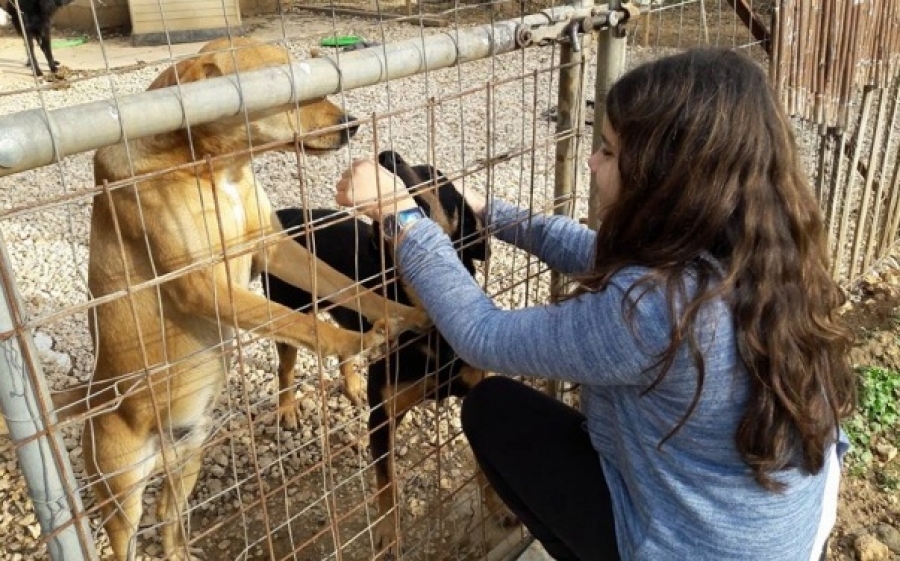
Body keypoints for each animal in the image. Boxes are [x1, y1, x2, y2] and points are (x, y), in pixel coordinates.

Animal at [59, 36, 426, 560]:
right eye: (281, 88)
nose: (352, 124)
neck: (216, 171)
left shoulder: (274, 248)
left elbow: (348, 288)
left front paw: (410, 313)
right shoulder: (204, 287)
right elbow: (302, 325)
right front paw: (359, 343)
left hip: (187, 459)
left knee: (167, 514)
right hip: (121, 490)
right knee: (124, 536)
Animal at [262, 151, 512, 552]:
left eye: (432, 173)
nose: (387, 155)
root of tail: (287, 214)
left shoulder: (473, 391)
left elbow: (482, 468)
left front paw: (497, 507)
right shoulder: (382, 418)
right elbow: (387, 482)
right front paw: (387, 534)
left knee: (345, 351)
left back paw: (352, 386)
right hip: (288, 313)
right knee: (285, 368)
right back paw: (286, 409)